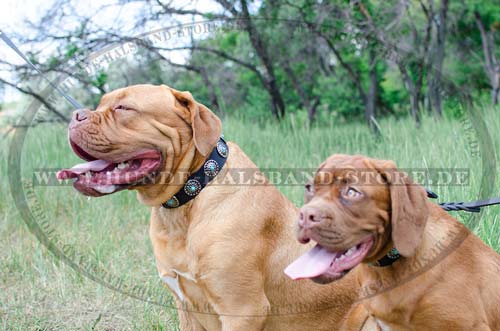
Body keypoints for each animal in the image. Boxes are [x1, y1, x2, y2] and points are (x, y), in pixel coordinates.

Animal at [57, 86, 376, 331]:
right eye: (100, 104)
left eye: (124, 108)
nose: (76, 115)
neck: (187, 200)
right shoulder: (186, 307)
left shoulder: (242, 310)